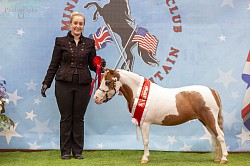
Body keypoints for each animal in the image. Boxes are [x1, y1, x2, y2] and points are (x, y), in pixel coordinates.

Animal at [93, 68, 229, 164]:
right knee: (215, 137)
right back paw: (218, 159)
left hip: (210, 118)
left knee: (220, 136)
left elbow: (145, 141)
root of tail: (212, 91)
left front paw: (144, 158)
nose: (96, 98)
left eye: (108, 82)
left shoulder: (145, 123)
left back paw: (224, 159)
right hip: (205, 120)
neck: (140, 93)